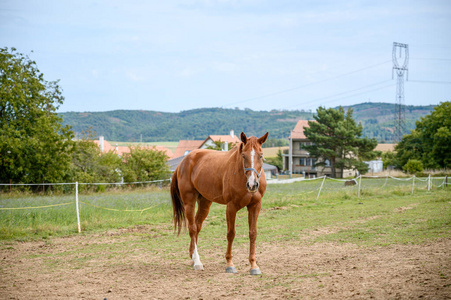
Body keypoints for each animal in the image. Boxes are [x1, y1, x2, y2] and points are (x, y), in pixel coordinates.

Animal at [170, 131, 268, 274]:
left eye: (261, 155)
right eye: (243, 155)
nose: (252, 184)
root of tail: (183, 162)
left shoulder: (255, 206)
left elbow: (253, 233)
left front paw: (254, 266)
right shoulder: (231, 207)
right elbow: (231, 234)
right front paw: (230, 264)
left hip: (205, 203)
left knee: (197, 226)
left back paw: (193, 258)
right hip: (189, 202)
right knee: (192, 228)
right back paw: (197, 262)